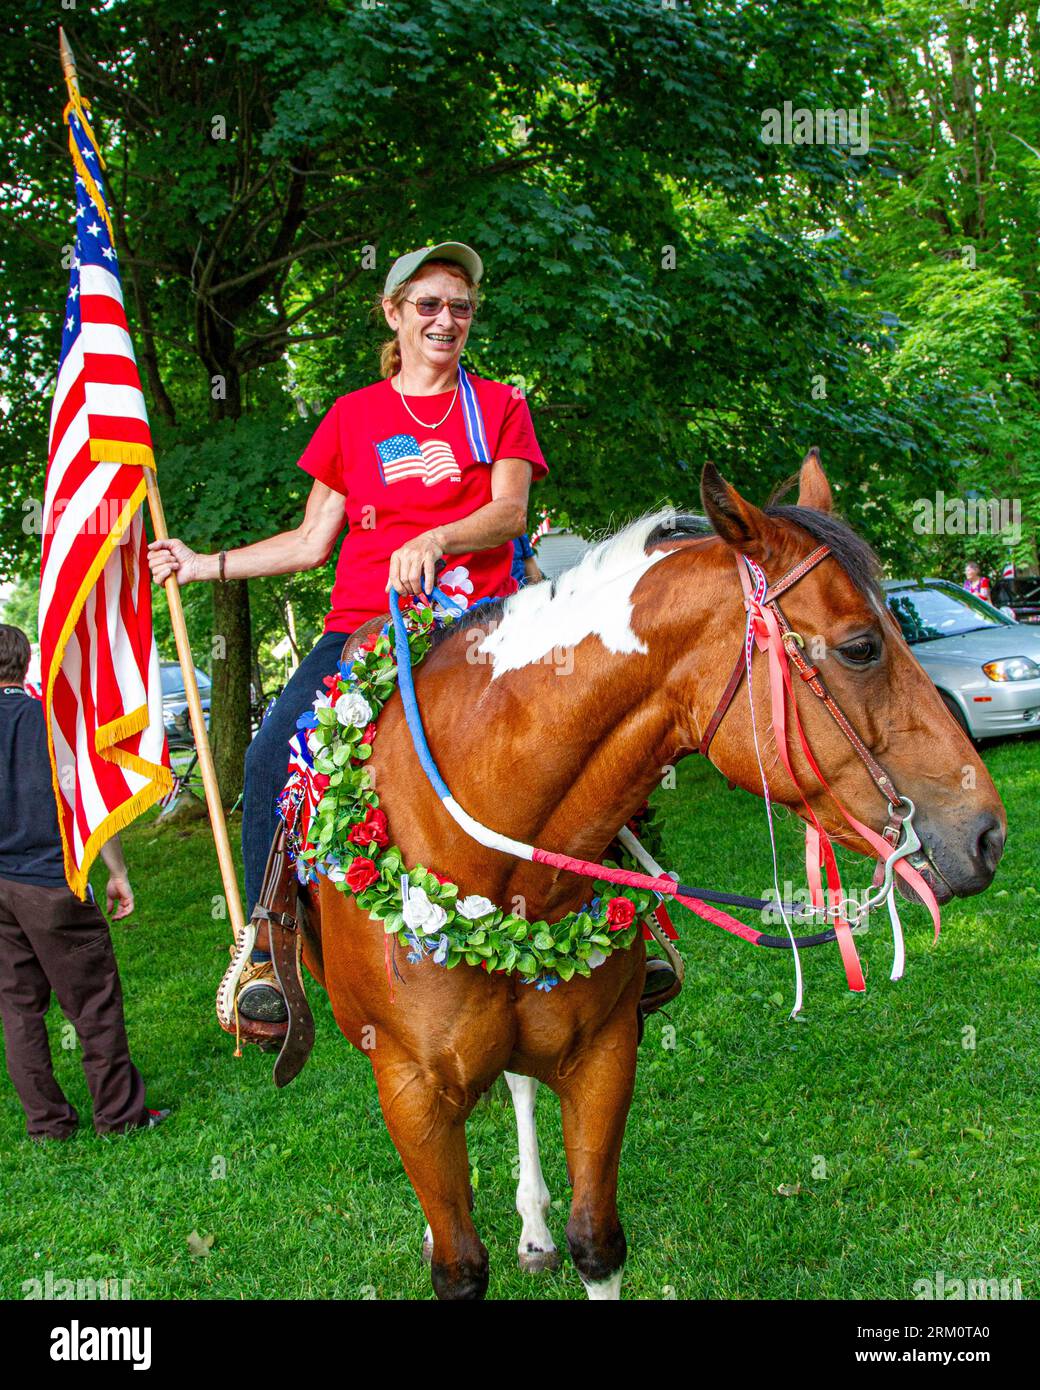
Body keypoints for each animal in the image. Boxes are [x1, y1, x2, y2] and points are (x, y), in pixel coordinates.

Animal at [298, 453, 1006, 1289]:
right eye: (863, 646)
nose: (988, 834)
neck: (489, 859)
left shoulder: (605, 1056)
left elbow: (596, 1241)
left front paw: (555, 1233)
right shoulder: (412, 1090)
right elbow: (458, 1264)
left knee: (520, 1083)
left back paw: (532, 1227)